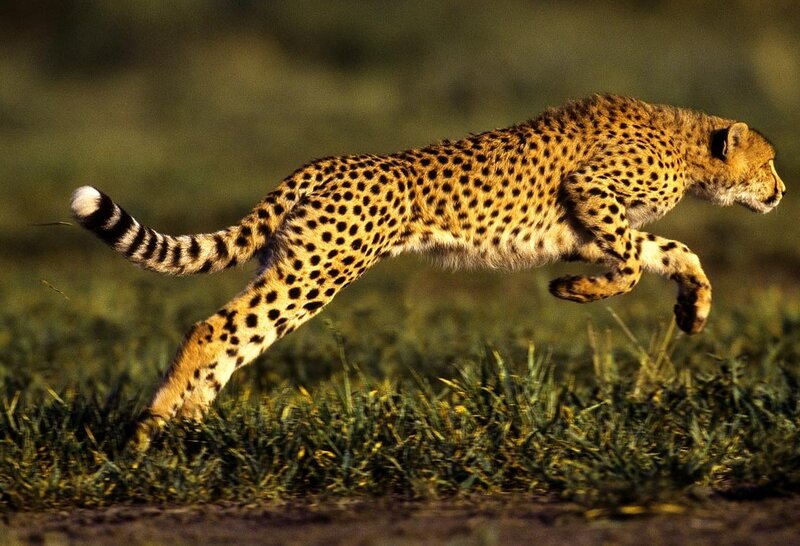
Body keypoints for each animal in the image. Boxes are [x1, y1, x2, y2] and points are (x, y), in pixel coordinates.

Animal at [70, 94, 785, 449]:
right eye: (771, 162)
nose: (781, 193)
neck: (686, 146)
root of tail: (329, 161)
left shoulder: (583, 229)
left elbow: (671, 251)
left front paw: (693, 308)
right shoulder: (590, 195)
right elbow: (633, 263)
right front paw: (573, 291)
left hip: (296, 263)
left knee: (233, 336)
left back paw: (187, 429)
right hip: (318, 271)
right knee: (215, 328)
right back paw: (149, 431)